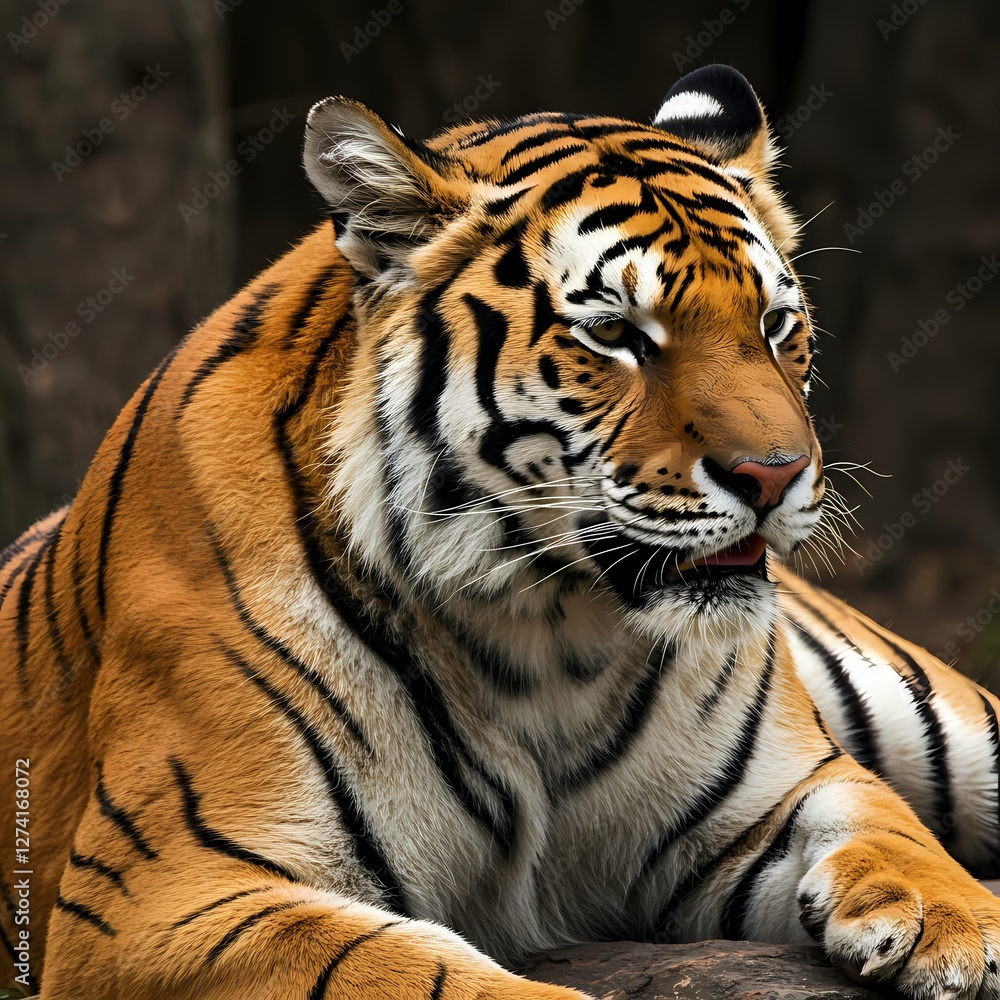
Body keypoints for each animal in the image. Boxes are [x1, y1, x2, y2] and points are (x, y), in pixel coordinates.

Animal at [3, 62, 1000, 1000]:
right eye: (616, 335)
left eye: (776, 322)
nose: (776, 475)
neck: (548, 633)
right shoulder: (160, 896)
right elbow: (412, 971)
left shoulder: (773, 795)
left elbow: (885, 823)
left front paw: (955, 924)